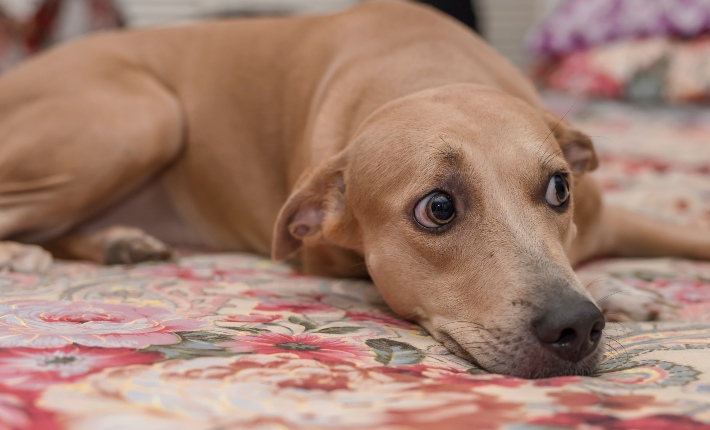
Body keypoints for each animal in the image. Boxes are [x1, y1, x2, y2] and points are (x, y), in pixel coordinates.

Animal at [0, 0, 708, 376]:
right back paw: (21, 255)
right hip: (143, 115)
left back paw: (119, 242)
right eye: (438, 208)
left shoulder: (619, 219)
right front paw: (616, 289)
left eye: (560, 189)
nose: (577, 325)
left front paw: (617, 286)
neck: (426, 74)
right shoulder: (323, 256)